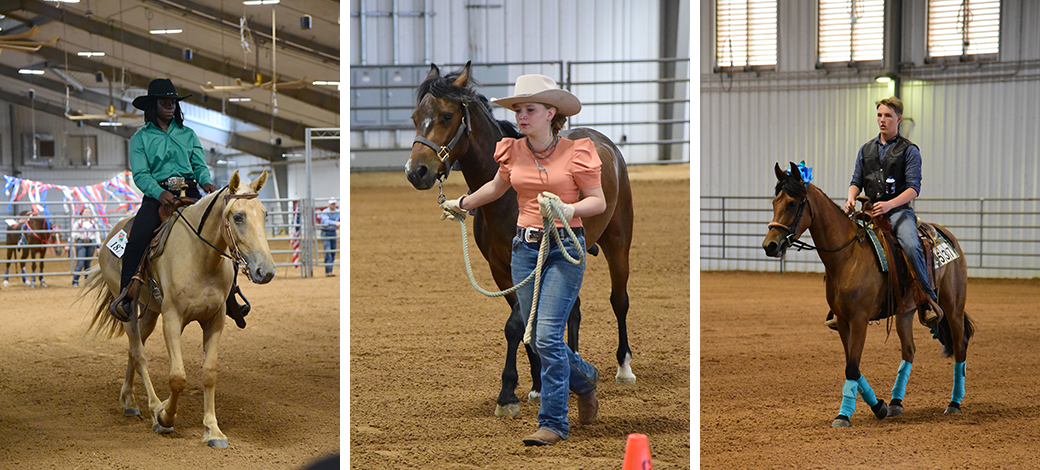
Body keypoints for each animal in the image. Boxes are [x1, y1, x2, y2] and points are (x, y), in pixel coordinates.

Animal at [80, 169, 276, 447]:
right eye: (238, 217)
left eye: (264, 214)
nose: (266, 271)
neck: (200, 257)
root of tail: (113, 233)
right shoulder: (172, 319)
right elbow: (177, 377)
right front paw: (166, 416)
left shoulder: (215, 320)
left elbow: (209, 373)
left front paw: (213, 430)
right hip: (129, 309)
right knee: (139, 353)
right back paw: (153, 407)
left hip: (150, 312)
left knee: (133, 350)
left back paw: (129, 400)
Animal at [403, 60, 632, 415]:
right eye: (415, 117)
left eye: (446, 116)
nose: (417, 172)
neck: (505, 197)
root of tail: (604, 142)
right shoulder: (501, 269)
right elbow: (526, 321)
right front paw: (538, 384)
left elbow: (515, 325)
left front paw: (507, 393)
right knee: (572, 309)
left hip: (619, 242)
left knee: (619, 301)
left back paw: (624, 368)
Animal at [765, 163, 973, 428]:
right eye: (775, 202)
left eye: (792, 203)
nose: (770, 245)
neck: (847, 257)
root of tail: (947, 236)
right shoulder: (843, 322)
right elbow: (851, 365)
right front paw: (880, 406)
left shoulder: (859, 320)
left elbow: (853, 368)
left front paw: (844, 415)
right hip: (905, 312)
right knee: (909, 350)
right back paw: (896, 403)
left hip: (953, 306)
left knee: (960, 344)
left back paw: (954, 403)